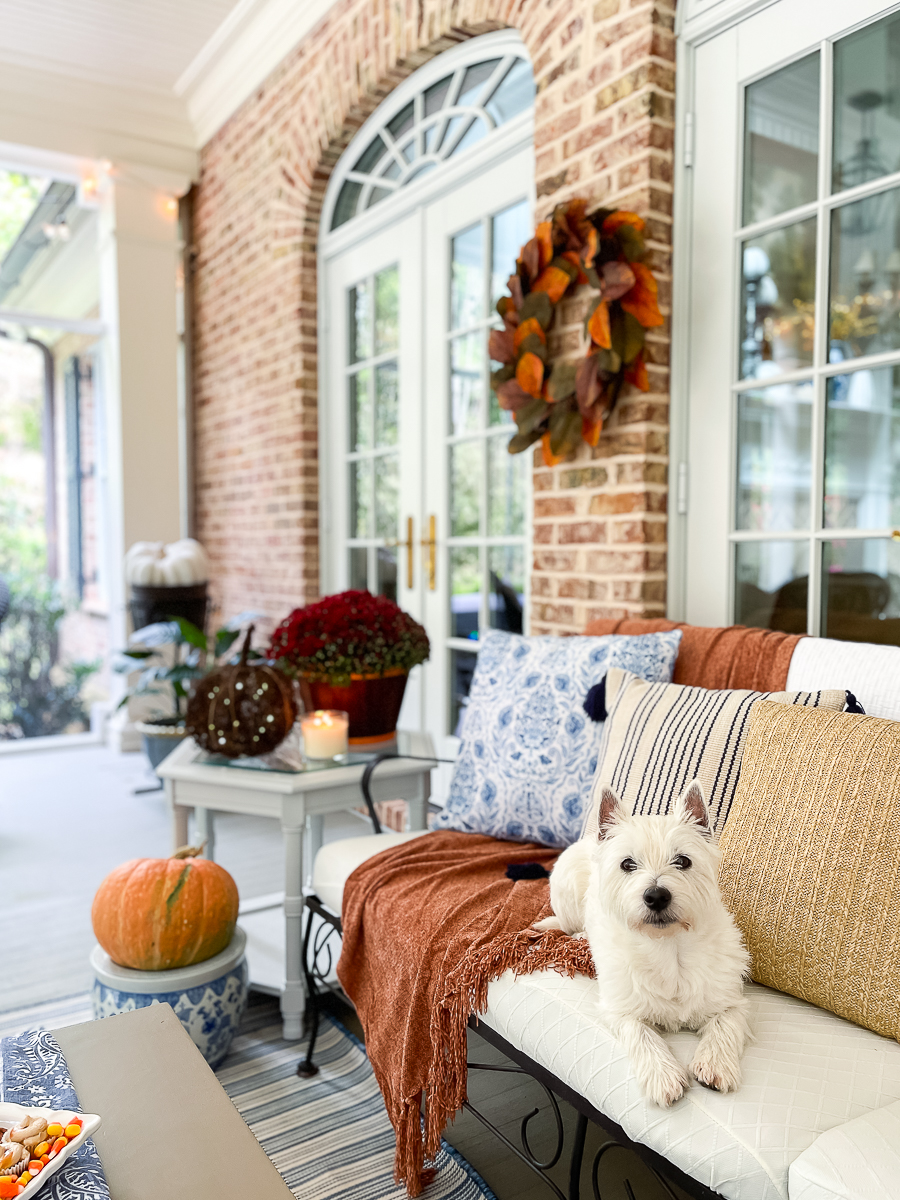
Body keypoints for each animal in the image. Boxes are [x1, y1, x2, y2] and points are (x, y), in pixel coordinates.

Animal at [535, 777, 753, 1104]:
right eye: (627, 864)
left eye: (683, 861)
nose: (656, 896)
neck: (668, 947)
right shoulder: (621, 1009)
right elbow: (642, 1034)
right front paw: (664, 1077)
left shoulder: (731, 1000)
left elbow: (724, 1023)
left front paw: (715, 1064)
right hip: (567, 887)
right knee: (568, 924)